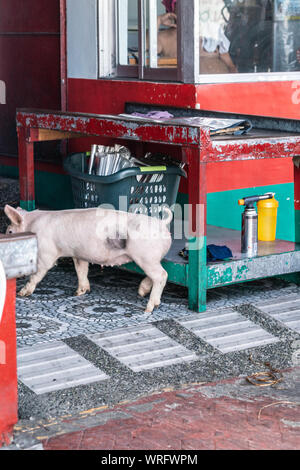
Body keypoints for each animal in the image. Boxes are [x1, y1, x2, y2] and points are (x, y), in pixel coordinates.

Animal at [4, 207, 172, 314]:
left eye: (10, 231)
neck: (33, 225)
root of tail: (162, 224)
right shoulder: (78, 254)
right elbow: (81, 270)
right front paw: (80, 292)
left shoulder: (47, 252)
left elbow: (38, 272)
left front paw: (21, 293)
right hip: (150, 258)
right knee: (157, 275)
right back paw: (142, 292)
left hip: (145, 256)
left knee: (162, 275)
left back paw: (148, 308)